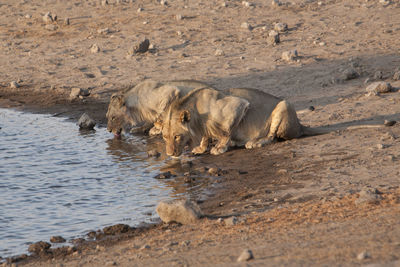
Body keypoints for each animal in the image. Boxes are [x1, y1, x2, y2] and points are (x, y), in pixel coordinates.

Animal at [161, 87, 386, 156]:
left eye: (177, 136)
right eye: (165, 137)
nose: (169, 154)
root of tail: (300, 125)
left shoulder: (238, 105)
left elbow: (225, 131)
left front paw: (220, 147)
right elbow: (207, 137)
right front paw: (201, 147)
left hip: (284, 105)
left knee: (273, 137)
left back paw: (255, 142)